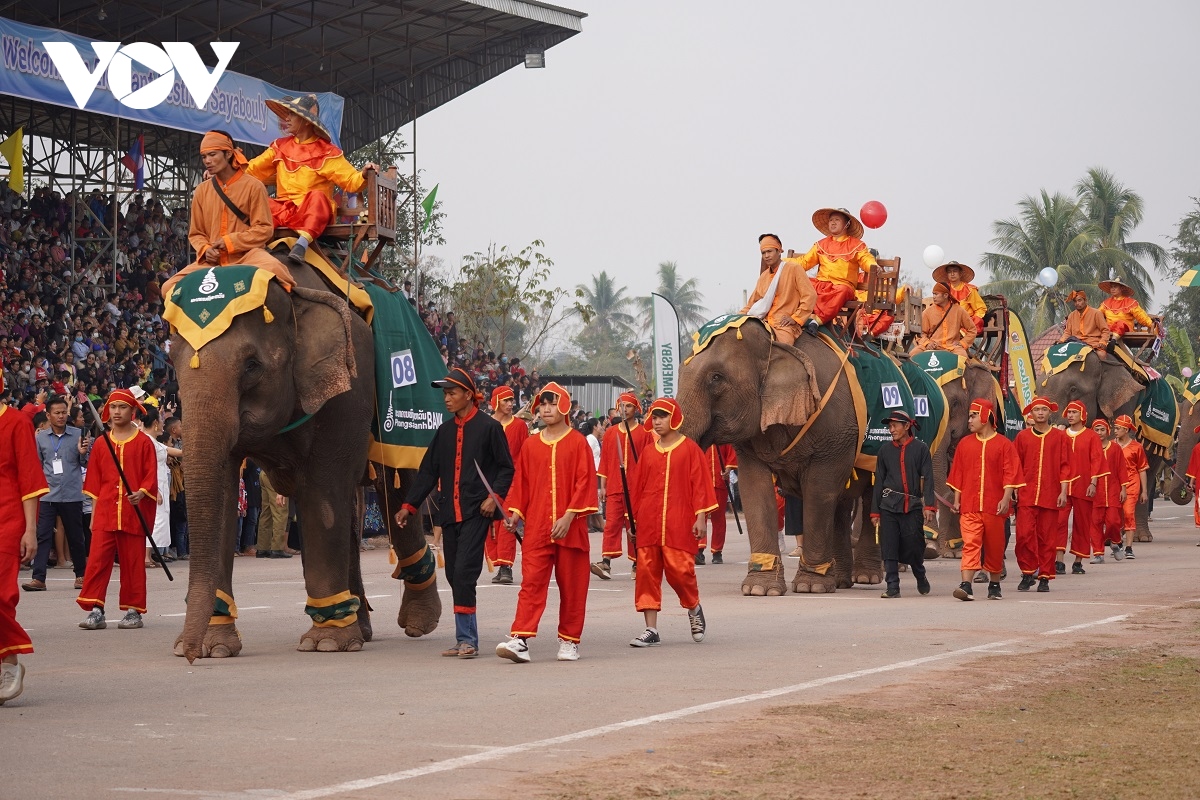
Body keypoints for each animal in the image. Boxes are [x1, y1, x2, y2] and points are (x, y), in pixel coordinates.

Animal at [686, 319, 873, 594]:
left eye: (716, 377)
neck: (773, 342)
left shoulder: (834, 430)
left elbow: (820, 490)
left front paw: (810, 586)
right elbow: (754, 486)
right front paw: (759, 589)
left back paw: (867, 577)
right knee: (842, 504)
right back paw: (841, 581)